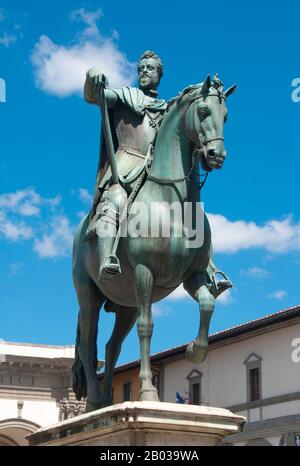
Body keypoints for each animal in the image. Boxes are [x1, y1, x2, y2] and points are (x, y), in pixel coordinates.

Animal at [71, 75, 236, 412]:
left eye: (225, 116)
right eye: (203, 111)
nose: (216, 156)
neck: (172, 203)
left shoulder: (192, 277)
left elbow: (208, 304)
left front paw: (194, 351)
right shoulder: (145, 271)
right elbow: (147, 328)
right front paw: (148, 391)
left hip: (124, 304)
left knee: (111, 348)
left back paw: (107, 400)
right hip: (88, 295)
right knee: (89, 345)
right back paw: (94, 401)